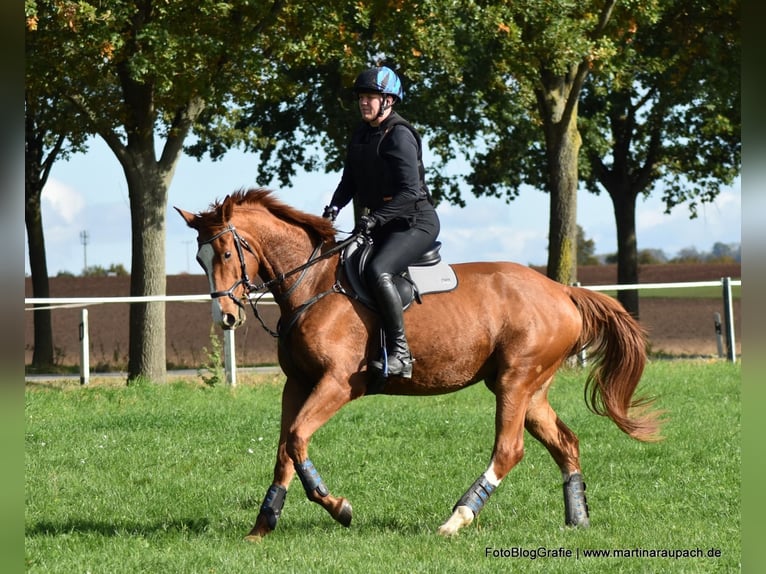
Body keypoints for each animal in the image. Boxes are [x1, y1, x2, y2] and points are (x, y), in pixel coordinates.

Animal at [176, 188, 662, 541]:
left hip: (515, 381)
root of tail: (561, 291)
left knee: (509, 450)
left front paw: (338, 507)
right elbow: (284, 451)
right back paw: (577, 519)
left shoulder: (337, 384)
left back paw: (456, 519)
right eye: (200, 258)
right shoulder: (296, 385)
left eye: (225, 253)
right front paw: (262, 526)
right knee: (566, 443)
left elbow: (296, 440)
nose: (226, 317)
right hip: (529, 388)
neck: (311, 284)